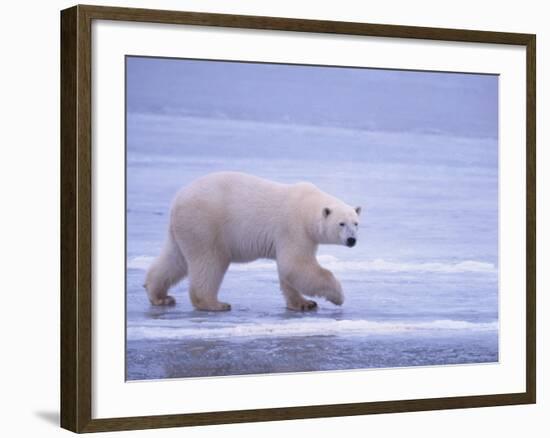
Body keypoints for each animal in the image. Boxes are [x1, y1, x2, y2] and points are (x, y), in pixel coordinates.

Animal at [144, 171, 364, 312]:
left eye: (356, 223)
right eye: (341, 224)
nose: (352, 240)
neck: (306, 207)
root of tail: (177, 201)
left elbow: (288, 272)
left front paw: (304, 303)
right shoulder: (293, 229)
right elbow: (296, 265)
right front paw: (338, 296)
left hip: (184, 229)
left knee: (174, 259)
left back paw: (159, 296)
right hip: (205, 224)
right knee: (209, 263)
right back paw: (215, 304)